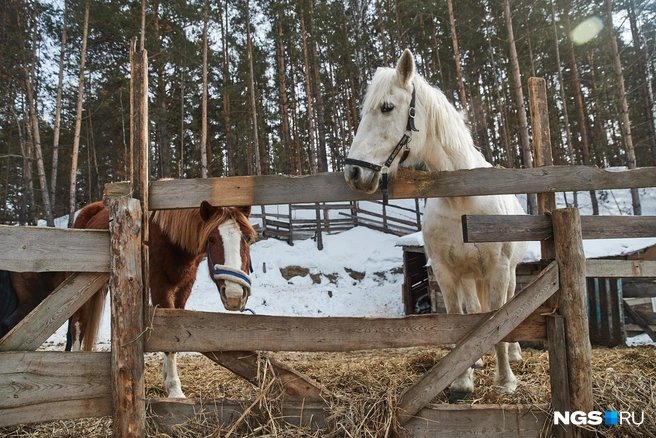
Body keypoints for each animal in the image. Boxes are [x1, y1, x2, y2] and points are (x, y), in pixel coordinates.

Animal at [0, 200, 254, 398]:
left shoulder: (183, 288)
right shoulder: (160, 287)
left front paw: (167, 379)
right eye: (211, 239)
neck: (167, 237)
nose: (234, 296)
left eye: (247, 239)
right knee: (76, 325)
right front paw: (174, 390)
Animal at [344, 49, 528, 402]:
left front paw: (505, 380)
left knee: (510, 303)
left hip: (507, 272)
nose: (354, 173)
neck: (462, 200)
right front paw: (462, 381)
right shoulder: (446, 271)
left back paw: (512, 355)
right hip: (470, 276)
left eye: (386, 107)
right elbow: (458, 319)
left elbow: (499, 318)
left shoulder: (498, 269)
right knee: (474, 309)